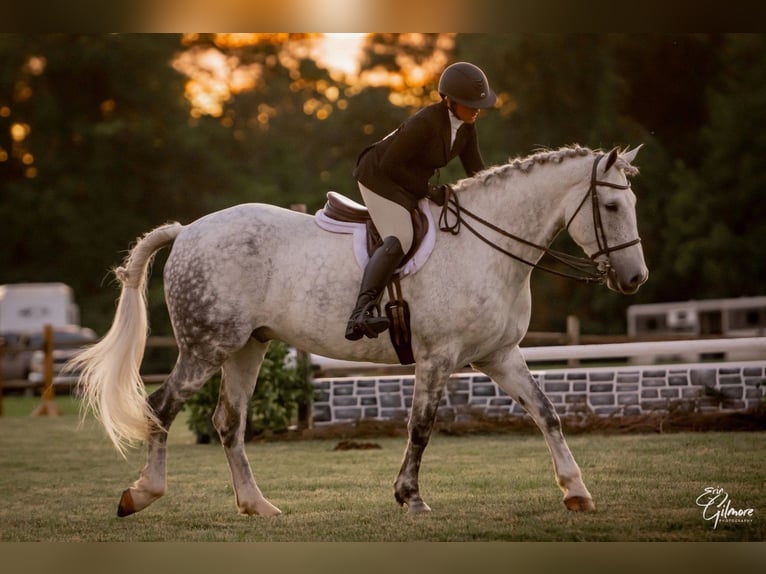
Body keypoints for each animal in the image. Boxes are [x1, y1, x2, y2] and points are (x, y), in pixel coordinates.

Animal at [71, 144, 647, 517]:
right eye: (611, 205)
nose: (635, 278)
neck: (489, 248)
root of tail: (187, 229)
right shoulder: (438, 358)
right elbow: (421, 427)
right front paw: (410, 496)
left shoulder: (499, 355)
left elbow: (547, 413)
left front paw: (576, 492)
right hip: (205, 347)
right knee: (162, 408)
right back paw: (141, 494)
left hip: (247, 347)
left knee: (228, 422)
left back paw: (257, 505)